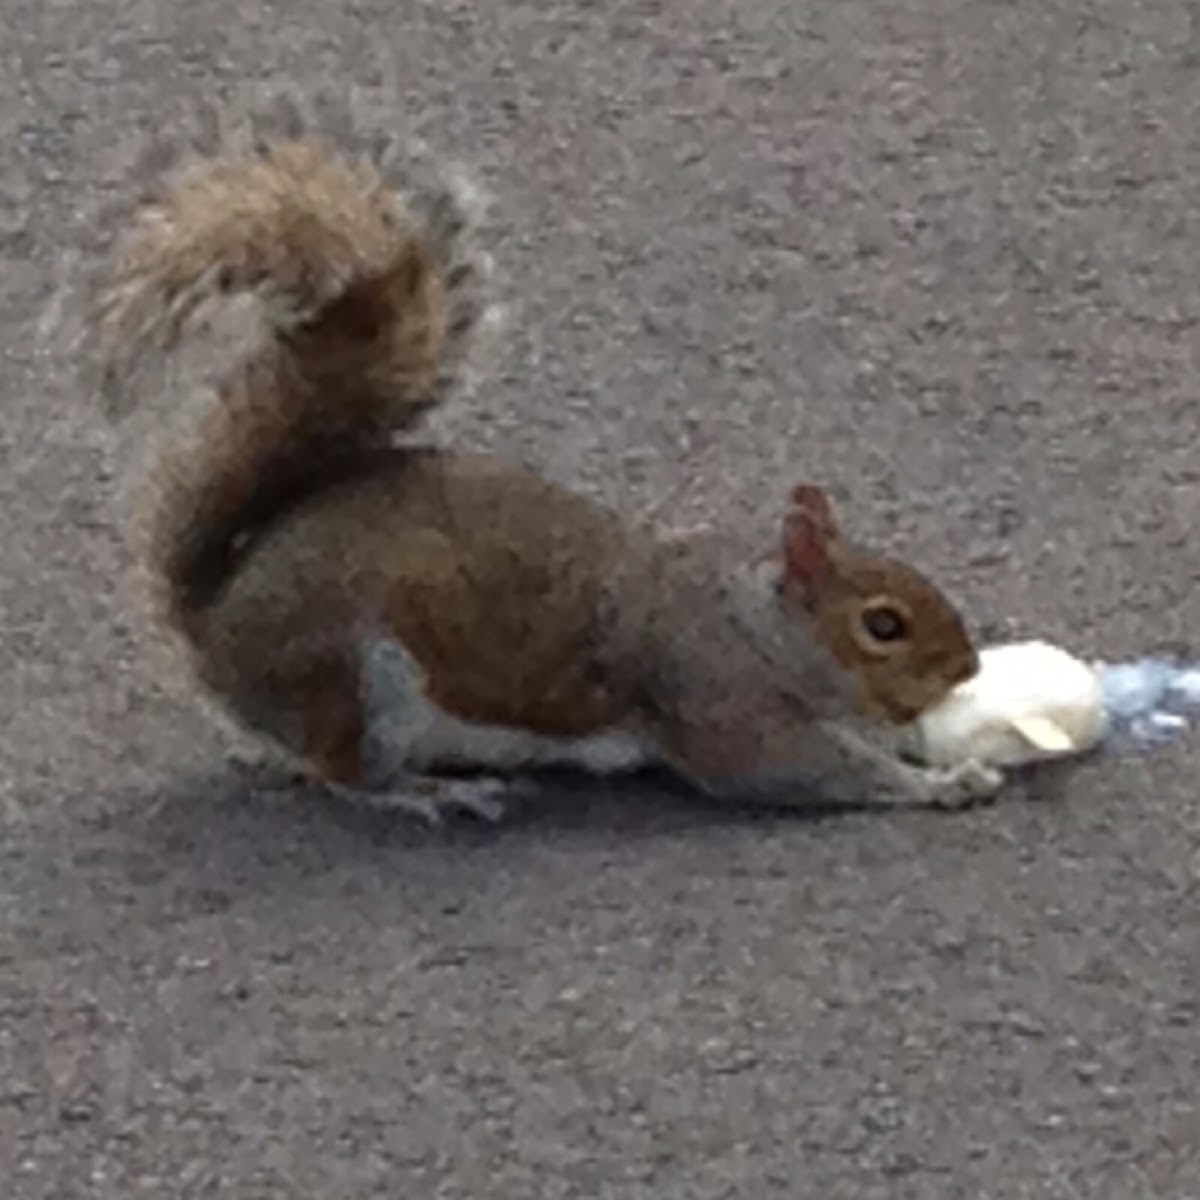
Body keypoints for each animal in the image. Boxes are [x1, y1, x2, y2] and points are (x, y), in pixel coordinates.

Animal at [79, 96, 1003, 825]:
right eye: (883, 624)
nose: (967, 667)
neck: (757, 623)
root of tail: (213, 625)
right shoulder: (721, 703)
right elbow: (800, 771)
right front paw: (944, 783)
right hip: (353, 679)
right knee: (337, 771)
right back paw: (431, 794)